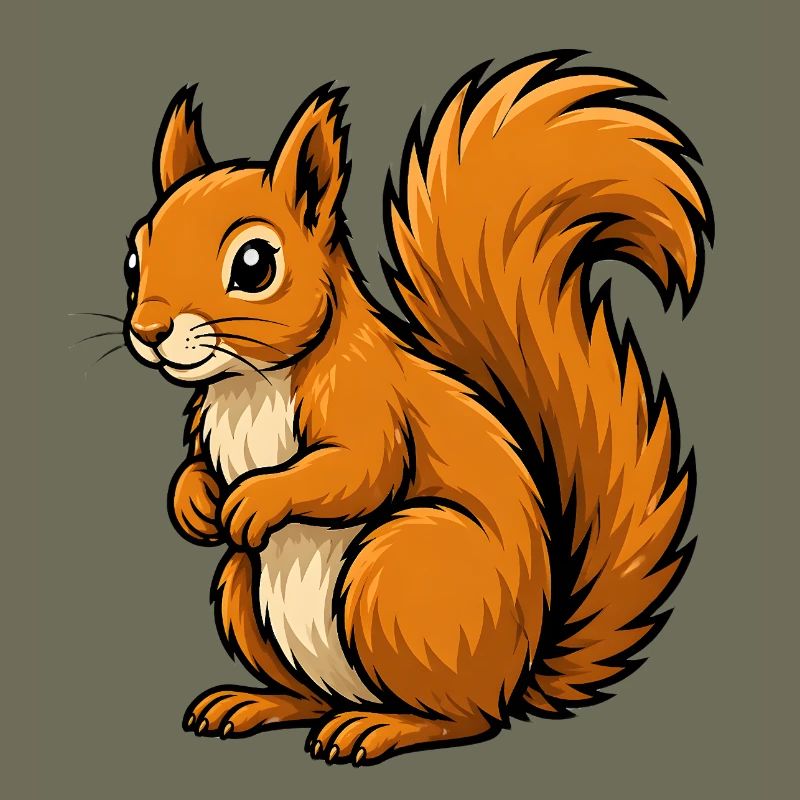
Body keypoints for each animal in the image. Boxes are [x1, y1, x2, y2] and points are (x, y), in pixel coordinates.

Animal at [122, 51, 711, 765]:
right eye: (133, 258)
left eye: (255, 264)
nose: (148, 330)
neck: (249, 384)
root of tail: (517, 675)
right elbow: (195, 471)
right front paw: (195, 503)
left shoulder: (367, 396)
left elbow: (360, 470)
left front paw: (256, 499)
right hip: (244, 589)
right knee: (314, 693)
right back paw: (256, 703)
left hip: (399, 572)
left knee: (466, 720)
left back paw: (380, 728)